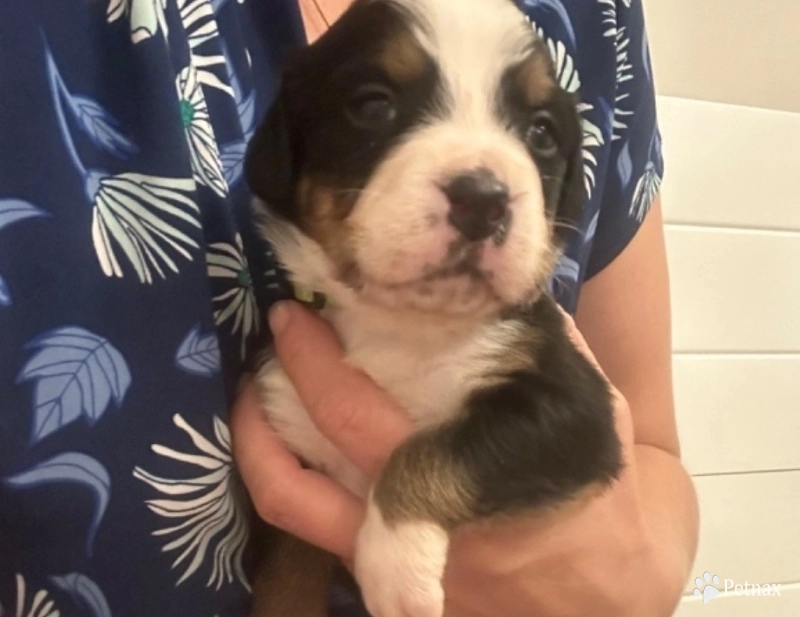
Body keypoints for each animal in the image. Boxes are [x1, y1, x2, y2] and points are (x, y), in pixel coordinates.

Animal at [244, 1, 624, 616]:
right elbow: (286, 587)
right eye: (373, 105)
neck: (403, 328)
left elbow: (440, 449)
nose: (482, 198)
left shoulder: (574, 410)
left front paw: (393, 568)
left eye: (541, 133)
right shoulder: (294, 430)